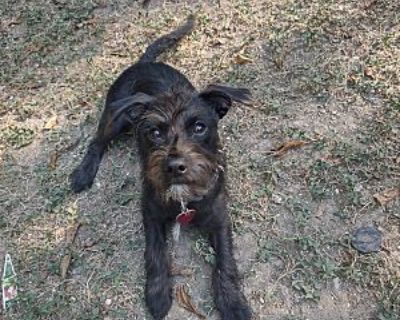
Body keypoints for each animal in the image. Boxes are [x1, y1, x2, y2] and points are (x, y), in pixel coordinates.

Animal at [71, 15, 252, 320]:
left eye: (199, 127)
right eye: (154, 132)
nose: (175, 166)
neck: (184, 200)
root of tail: (143, 62)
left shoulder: (219, 218)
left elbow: (225, 260)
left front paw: (232, 302)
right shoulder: (150, 214)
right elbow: (155, 253)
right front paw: (157, 294)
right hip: (116, 118)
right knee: (96, 141)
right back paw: (83, 173)